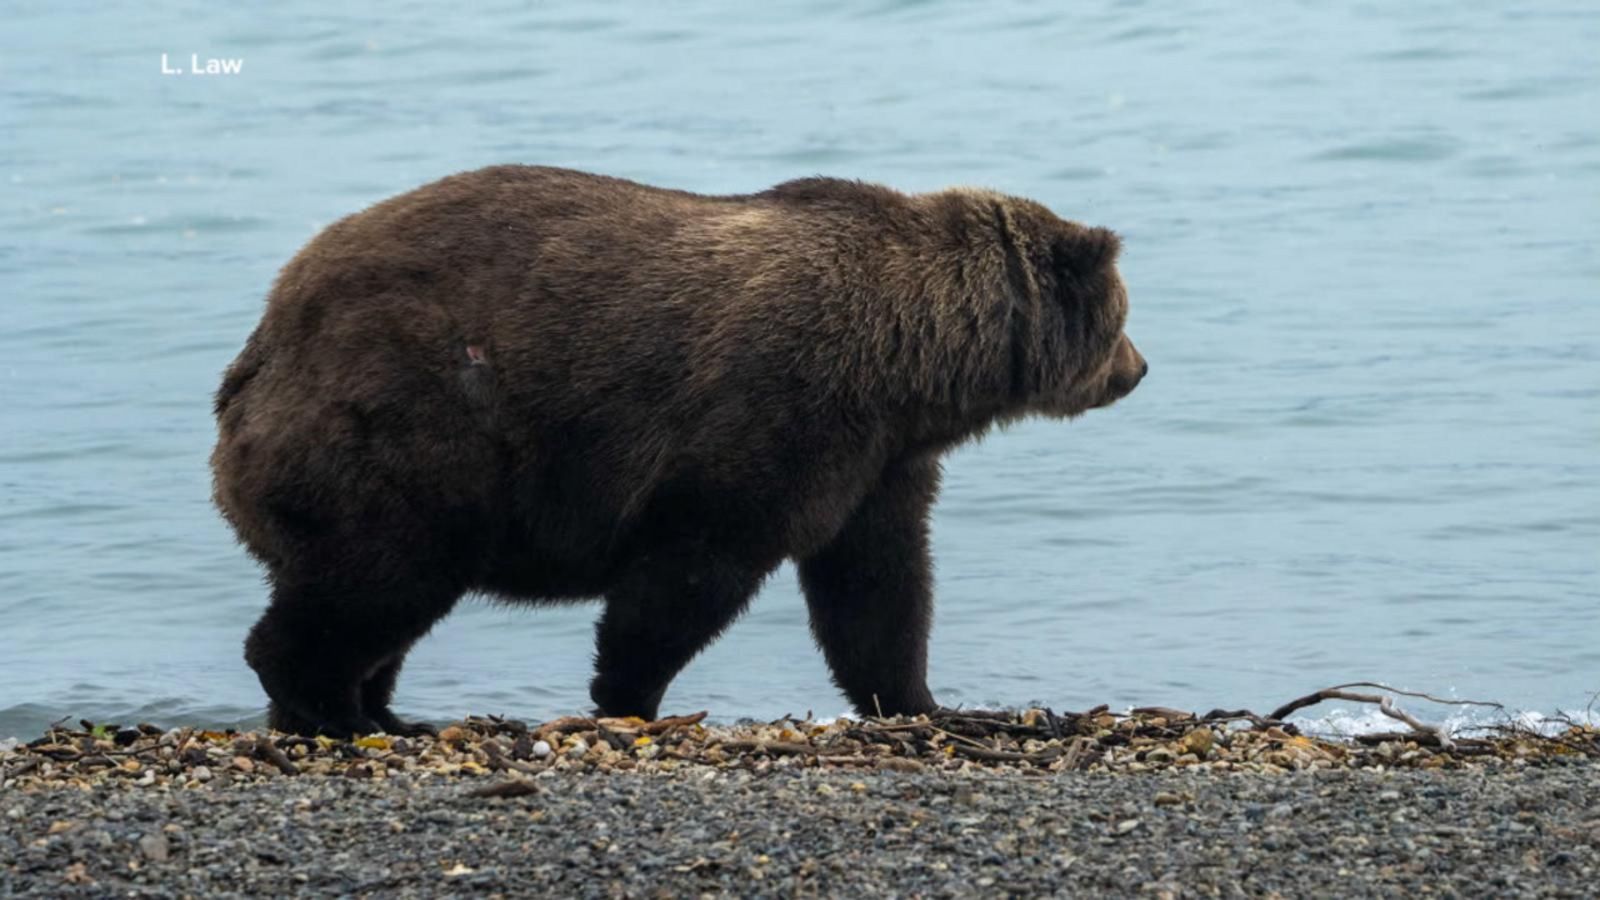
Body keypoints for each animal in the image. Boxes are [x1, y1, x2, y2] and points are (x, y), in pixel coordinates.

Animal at [209, 164, 1152, 733]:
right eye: (1123, 315)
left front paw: (929, 701)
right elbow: (696, 568)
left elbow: (878, 583)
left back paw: (382, 712)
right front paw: (628, 695)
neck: (909, 355)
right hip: (409, 424)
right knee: (380, 575)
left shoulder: (881, 457)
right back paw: (331, 708)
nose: (1140, 369)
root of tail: (256, 352)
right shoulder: (779, 408)